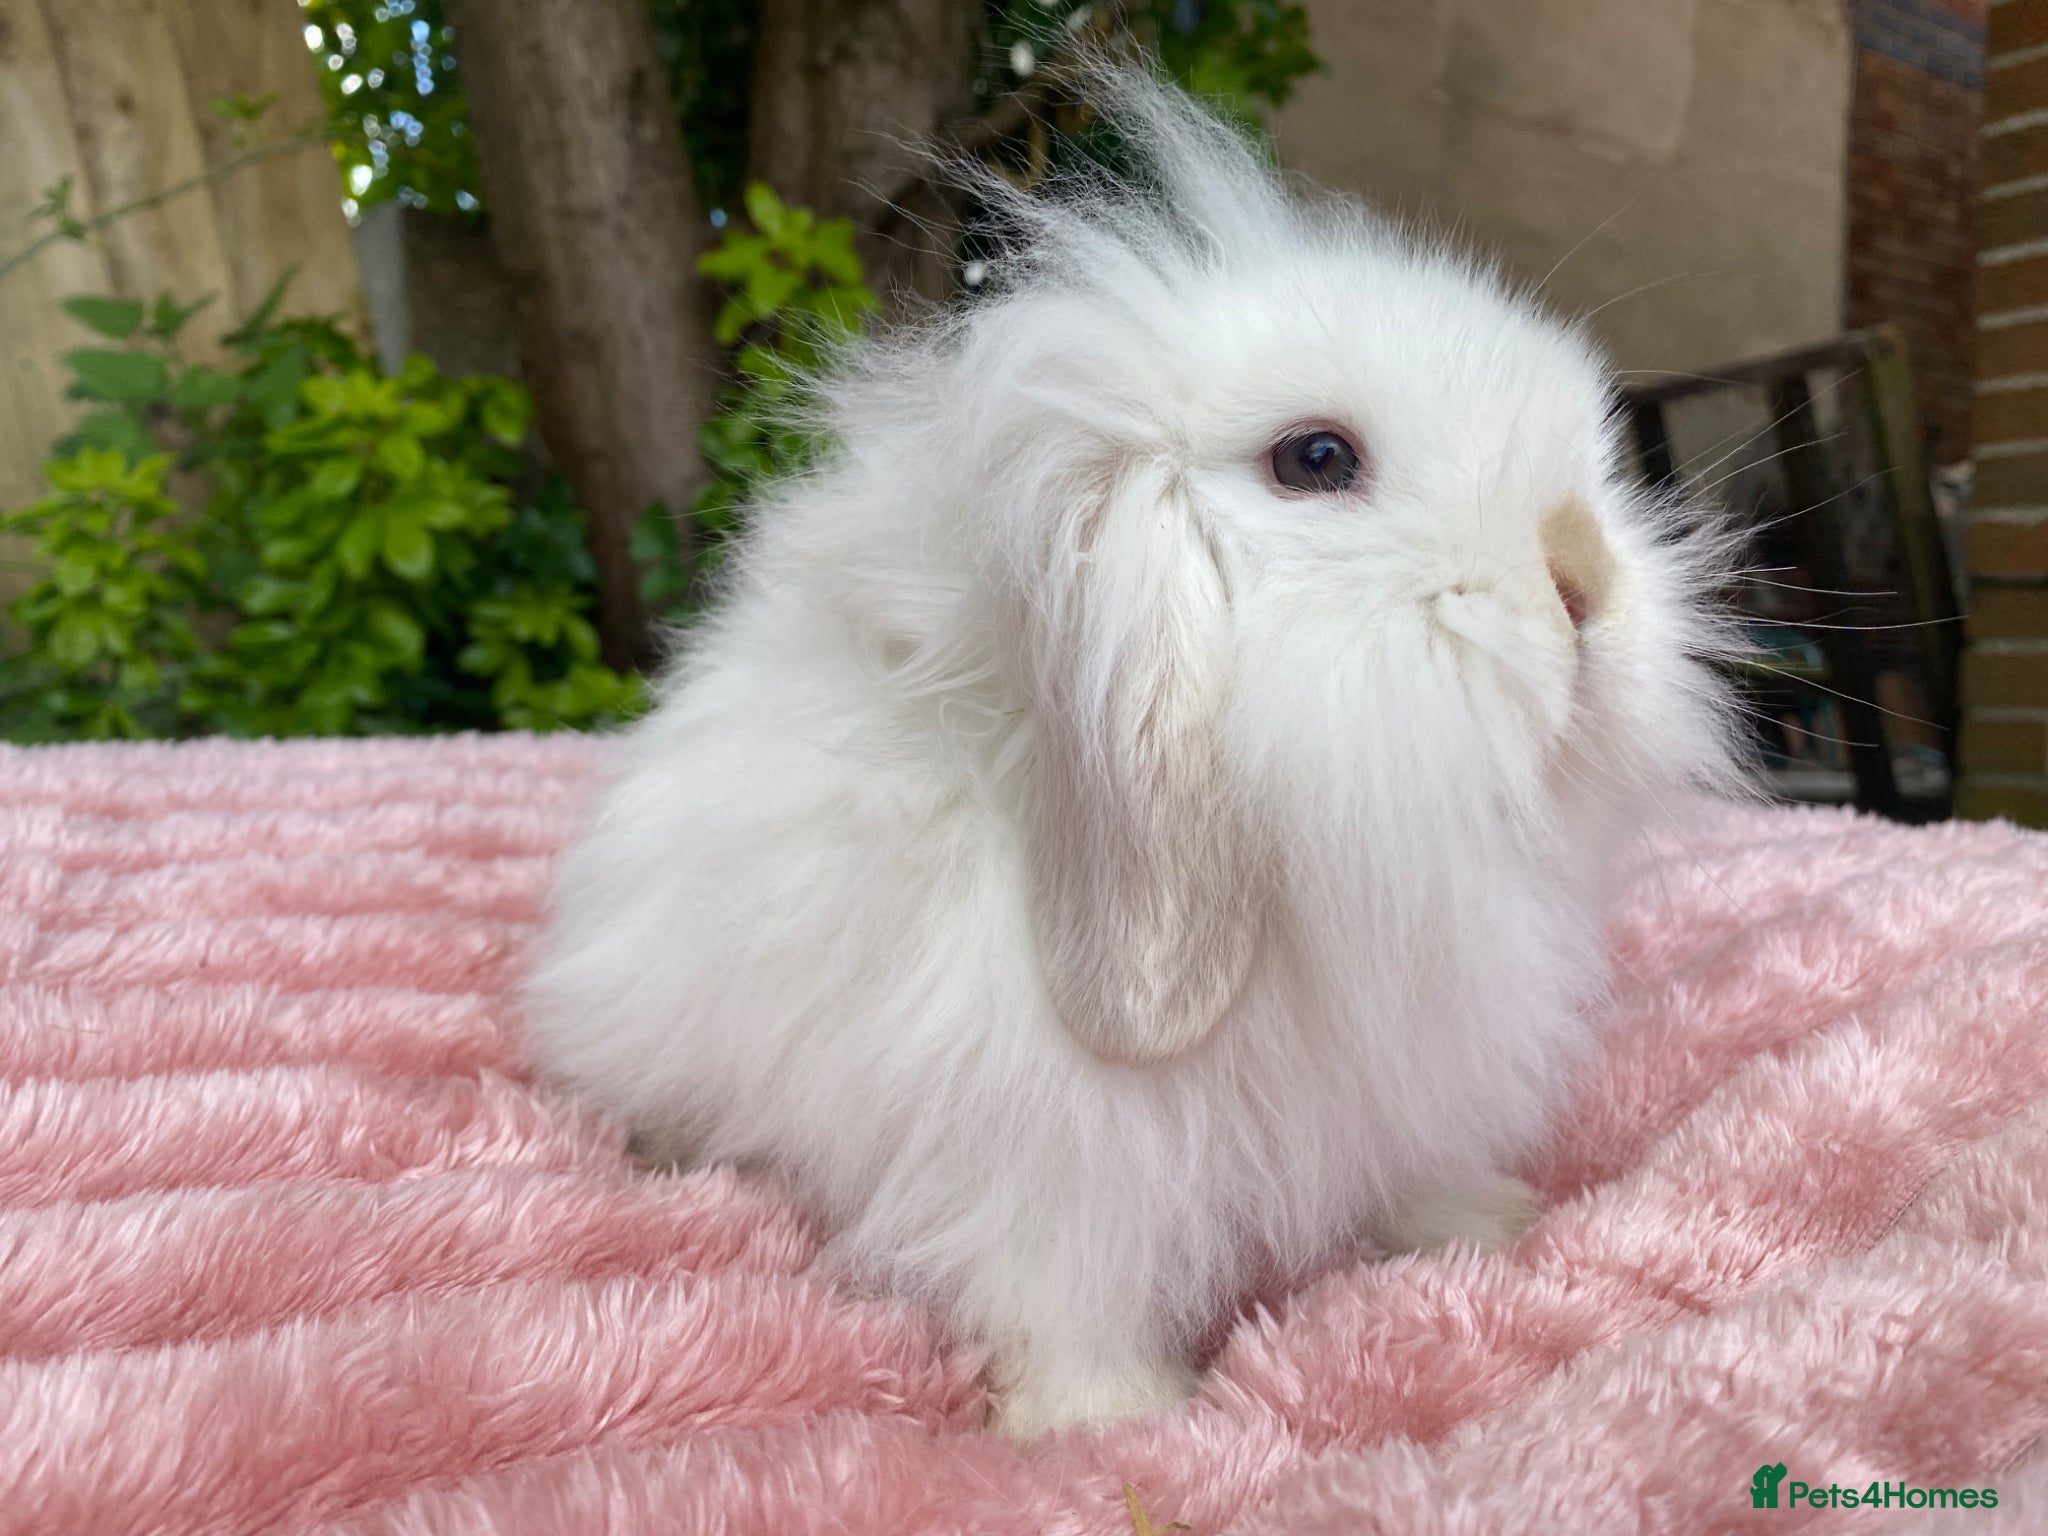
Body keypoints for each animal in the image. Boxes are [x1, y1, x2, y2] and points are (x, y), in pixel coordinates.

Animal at [521, 68, 1740, 1440]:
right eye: (1316, 458)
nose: (1583, 579)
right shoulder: (1034, 1149)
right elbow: (1057, 1279)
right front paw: (1104, 1418)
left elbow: (1411, 1170)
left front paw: (1480, 1225)